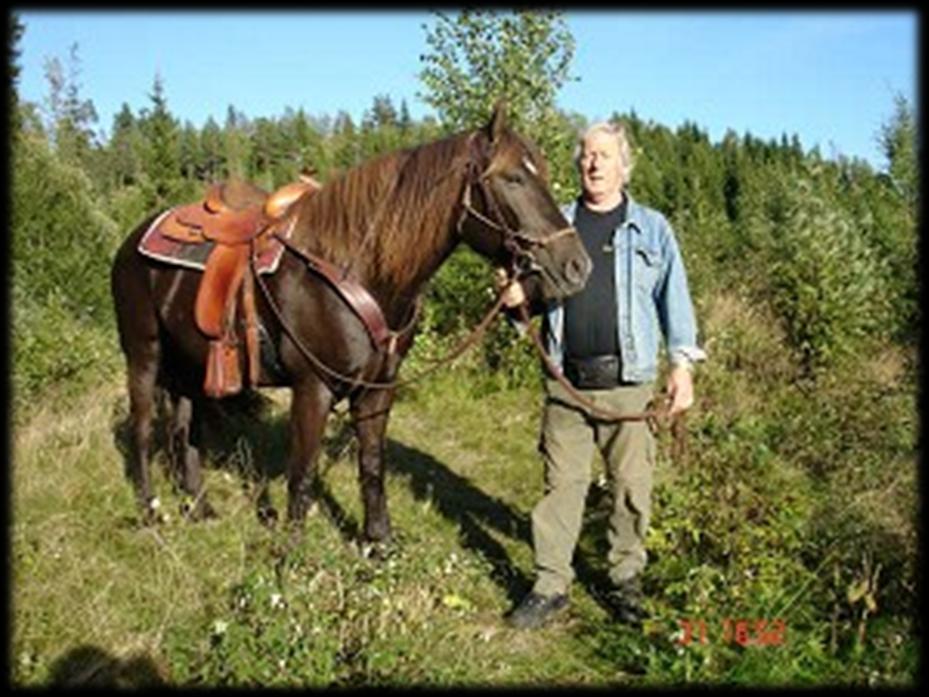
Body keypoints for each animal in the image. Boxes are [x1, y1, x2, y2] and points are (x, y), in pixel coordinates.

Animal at [109, 103, 588, 540]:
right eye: (513, 178)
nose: (577, 266)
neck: (353, 267)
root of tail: (133, 239)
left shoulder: (378, 388)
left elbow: (372, 466)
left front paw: (379, 543)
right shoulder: (312, 388)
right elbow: (302, 473)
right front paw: (292, 556)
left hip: (190, 364)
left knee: (184, 428)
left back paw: (198, 507)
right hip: (143, 353)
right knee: (143, 428)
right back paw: (149, 511)